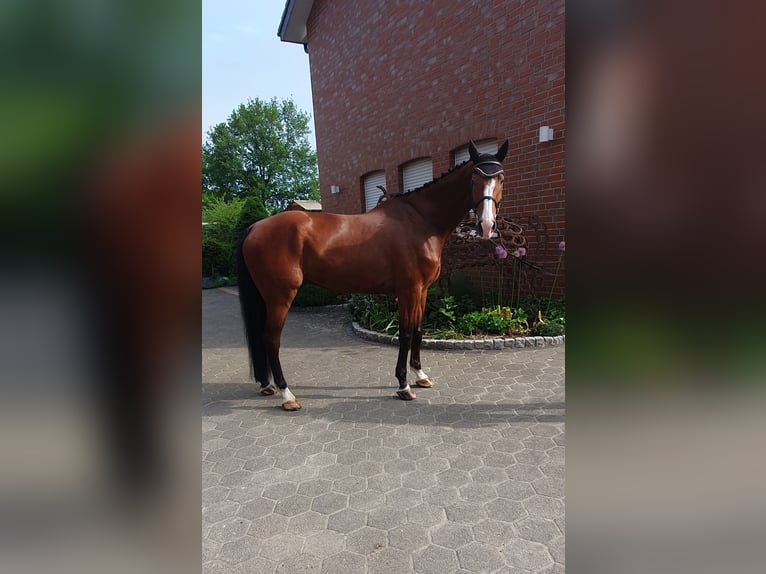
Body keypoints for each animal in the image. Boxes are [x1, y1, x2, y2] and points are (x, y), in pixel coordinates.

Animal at [237, 140, 508, 412]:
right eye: (474, 178)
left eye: (501, 179)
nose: (486, 226)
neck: (420, 221)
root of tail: (255, 227)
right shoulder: (408, 290)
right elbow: (405, 333)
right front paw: (404, 386)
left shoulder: (422, 290)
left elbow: (418, 330)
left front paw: (420, 376)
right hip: (280, 297)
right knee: (271, 339)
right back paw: (287, 395)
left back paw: (267, 385)